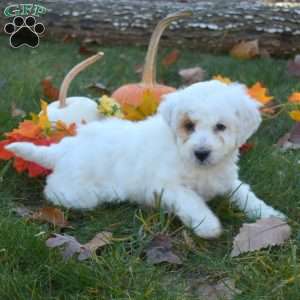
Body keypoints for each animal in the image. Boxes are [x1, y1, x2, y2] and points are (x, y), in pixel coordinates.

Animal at [6, 80, 284, 239]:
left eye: (220, 127)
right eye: (189, 126)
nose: (201, 153)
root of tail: (65, 147)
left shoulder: (226, 179)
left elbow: (245, 193)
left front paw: (268, 214)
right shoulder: (167, 187)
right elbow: (191, 199)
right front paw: (207, 225)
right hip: (77, 193)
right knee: (54, 191)